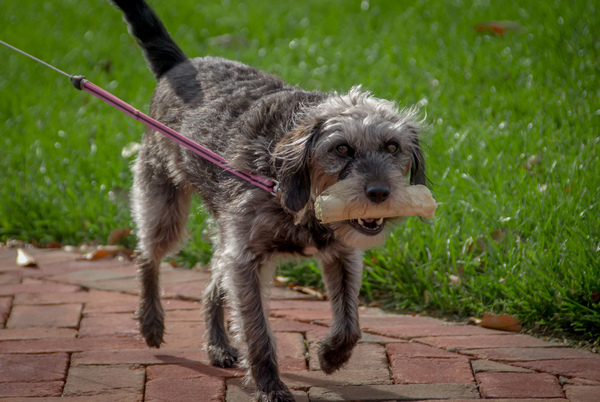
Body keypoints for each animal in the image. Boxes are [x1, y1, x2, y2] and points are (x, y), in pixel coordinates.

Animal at [112, 0, 428, 398]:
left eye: (392, 147)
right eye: (341, 148)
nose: (379, 193)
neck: (294, 189)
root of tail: (179, 64)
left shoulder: (341, 254)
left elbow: (350, 322)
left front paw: (332, 355)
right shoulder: (246, 260)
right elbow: (257, 331)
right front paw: (269, 385)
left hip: (224, 234)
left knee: (211, 285)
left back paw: (217, 344)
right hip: (163, 205)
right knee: (147, 257)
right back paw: (150, 321)